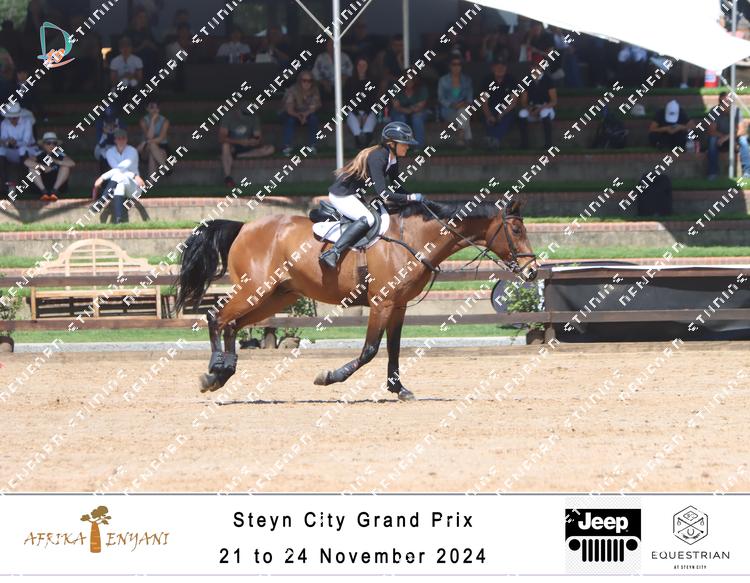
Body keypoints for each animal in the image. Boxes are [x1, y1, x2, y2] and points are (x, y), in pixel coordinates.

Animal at [174, 198, 538, 401]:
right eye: (516, 231)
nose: (533, 270)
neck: (413, 239)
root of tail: (244, 227)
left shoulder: (398, 306)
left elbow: (393, 349)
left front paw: (399, 389)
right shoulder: (382, 303)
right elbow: (369, 351)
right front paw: (329, 377)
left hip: (276, 297)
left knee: (232, 323)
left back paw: (223, 372)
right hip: (256, 290)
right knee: (217, 317)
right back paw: (213, 371)